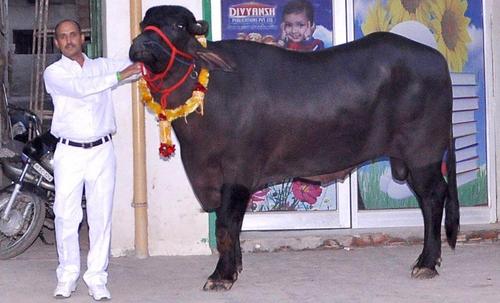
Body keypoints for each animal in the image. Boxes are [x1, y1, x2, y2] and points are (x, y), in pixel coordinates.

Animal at [130, 5, 460, 292]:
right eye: (144, 24)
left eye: (178, 26)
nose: (142, 45)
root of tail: (437, 60)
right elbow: (233, 226)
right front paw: (234, 268)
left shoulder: (237, 171)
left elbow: (225, 225)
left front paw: (221, 276)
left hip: (423, 155)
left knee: (434, 198)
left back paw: (427, 263)